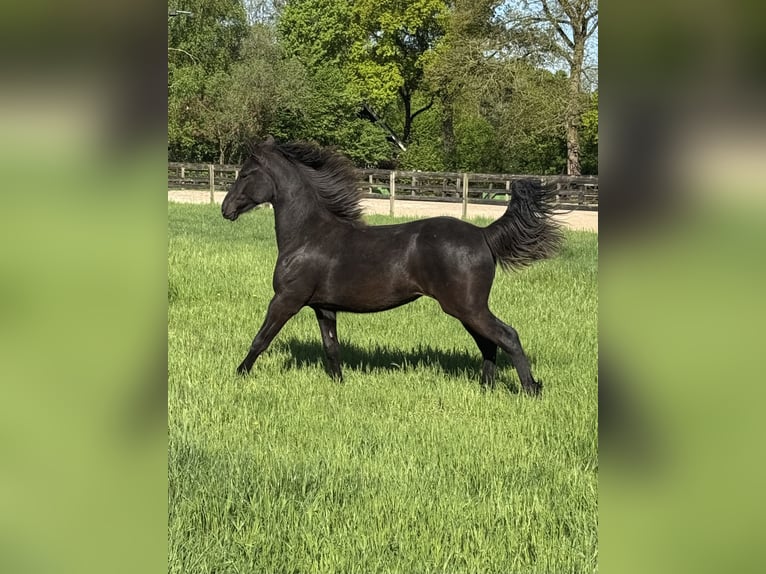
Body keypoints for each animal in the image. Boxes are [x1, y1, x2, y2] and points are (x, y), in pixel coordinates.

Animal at [221, 137, 562, 395]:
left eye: (245, 173)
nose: (226, 209)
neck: (308, 235)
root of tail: (483, 234)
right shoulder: (324, 307)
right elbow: (331, 348)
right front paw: (339, 385)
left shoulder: (286, 300)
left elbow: (261, 339)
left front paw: (238, 374)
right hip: (467, 310)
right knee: (489, 344)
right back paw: (485, 388)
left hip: (467, 307)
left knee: (507, 336)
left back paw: (530, 389)